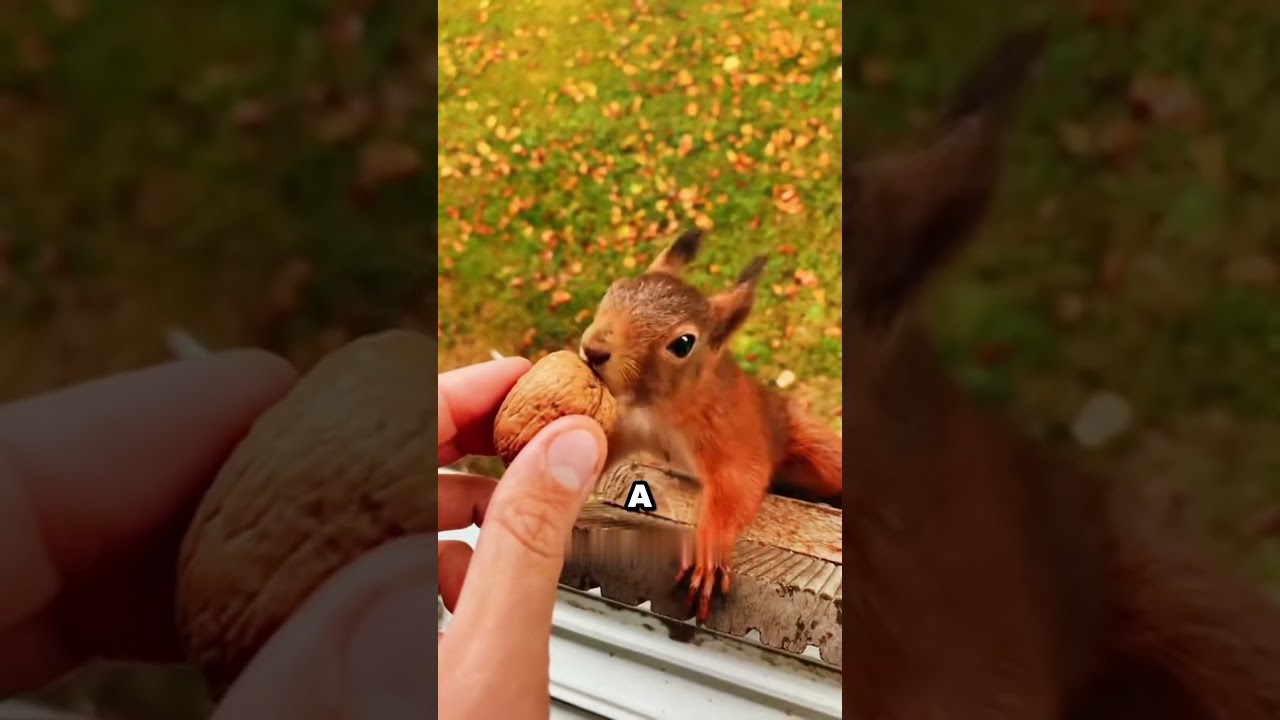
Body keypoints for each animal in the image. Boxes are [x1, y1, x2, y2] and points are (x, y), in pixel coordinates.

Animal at [577, 229, 843, 622]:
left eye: (684, 343)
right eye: (615, 289)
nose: (594, 349)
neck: (659, 409)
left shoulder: (733, 432)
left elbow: (738, 484)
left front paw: (710, 550)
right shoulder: (630, 425)